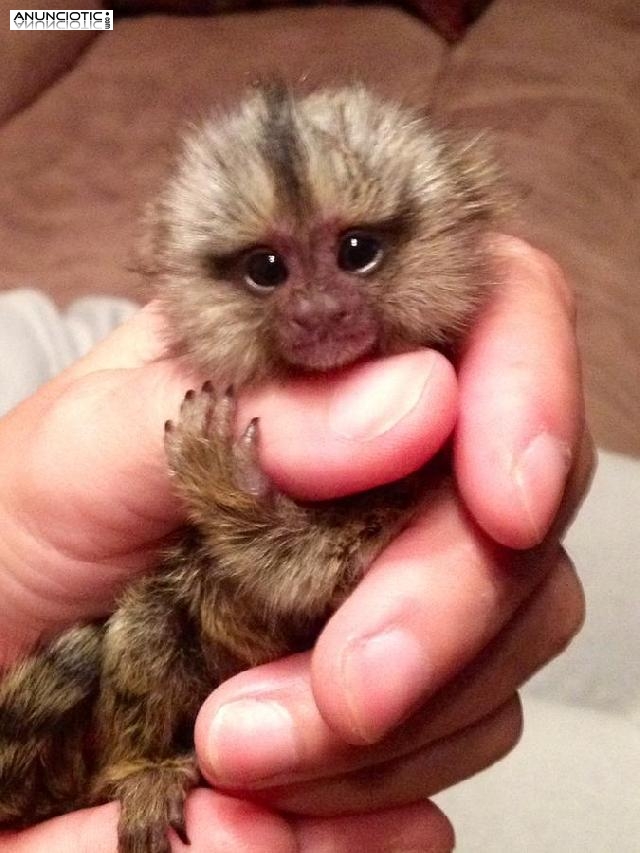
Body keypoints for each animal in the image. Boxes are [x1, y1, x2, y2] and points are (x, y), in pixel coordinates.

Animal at [0, 84, 506, 852]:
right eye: (267, 269)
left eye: (357, 252)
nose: (320, 311)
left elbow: (315, 571)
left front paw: (222, 481)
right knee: (150, 613)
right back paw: (141, 770)